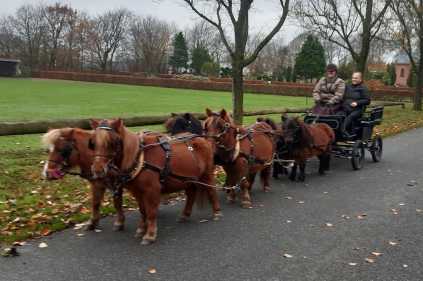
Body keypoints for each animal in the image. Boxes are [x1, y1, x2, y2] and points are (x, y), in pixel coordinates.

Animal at [89, 117, 222, 244]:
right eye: (93, 143)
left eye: (112, 142)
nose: (97, 170)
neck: (140, 157)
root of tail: (201, 139)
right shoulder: (137, 192)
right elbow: (143, 211)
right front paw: (141, 229)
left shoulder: (152, 190)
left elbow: (151, 211)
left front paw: (150, 235)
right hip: (189, 178)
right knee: (191, 194)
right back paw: (185, 214)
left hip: (206, 174)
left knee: (211, 190)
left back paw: (217, 212)